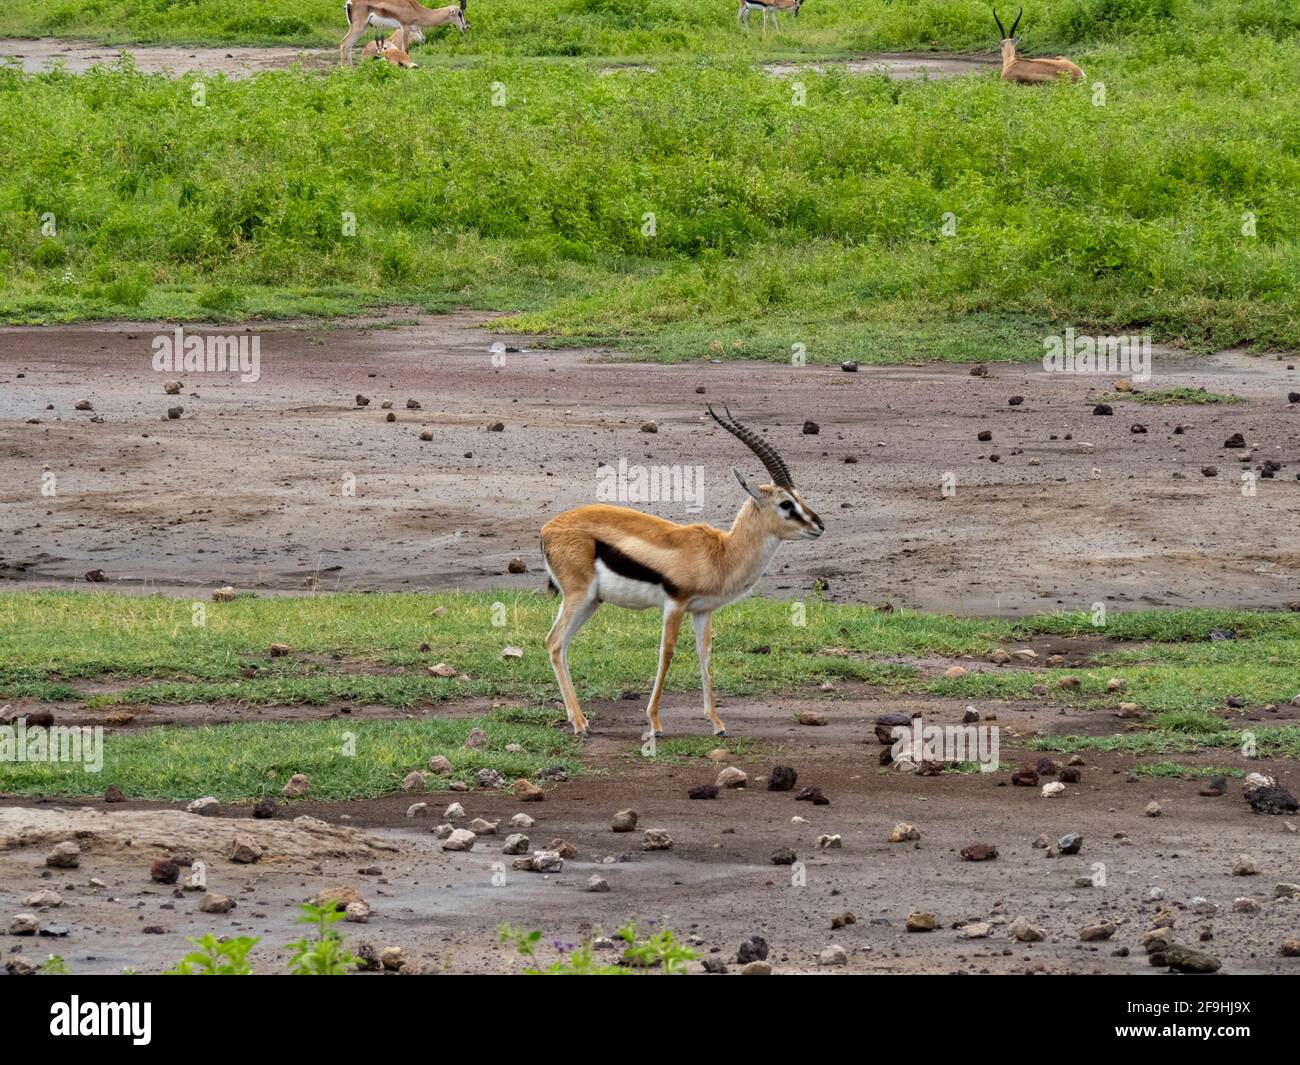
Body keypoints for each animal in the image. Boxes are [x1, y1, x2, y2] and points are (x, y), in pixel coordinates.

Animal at [541, 406, 824, 738]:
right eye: (785, 503)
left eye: (799, 497)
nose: (819, 525)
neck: (721, 554)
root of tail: (547, 529)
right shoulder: (675, 604)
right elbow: (667, 653)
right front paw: (654, 724)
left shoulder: (702, 610)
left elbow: (705, 655)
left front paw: (717, 724)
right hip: (579, 596)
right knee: (554, 641)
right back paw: (579, 723)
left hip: (592, 601)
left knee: (560, 645)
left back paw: (580, 719)